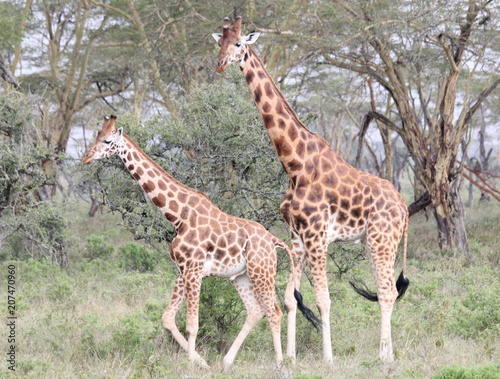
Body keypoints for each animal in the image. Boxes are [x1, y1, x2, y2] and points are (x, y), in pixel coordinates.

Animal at [81, 115, 316, 372]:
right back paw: (227, 362)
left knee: (273, 311)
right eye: (96, 135)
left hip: (262, 271)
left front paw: (191, 365)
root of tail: (272, 240)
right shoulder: (183, 270)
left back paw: (280, 363)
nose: (86, 157)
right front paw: (201, 362)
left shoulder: (193, 270)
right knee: (255, 311)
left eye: (107, 140)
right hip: (240, 276)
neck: (177, 215)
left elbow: (192, 324)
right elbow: (167, 318)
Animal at [212, 17, 410, 366]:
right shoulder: (296, 238)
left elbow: (323, 299)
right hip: (372, 241)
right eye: (218, 43)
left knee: (387, 291)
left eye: (238, 43)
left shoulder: (317, 236)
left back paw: (385, 357)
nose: (221, 64)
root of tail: (404, 206)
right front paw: (290, 356)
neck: (295, 165)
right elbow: (291, 298)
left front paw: (328, 359)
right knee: (386, 289)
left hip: (382, 240)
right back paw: (385, 353)